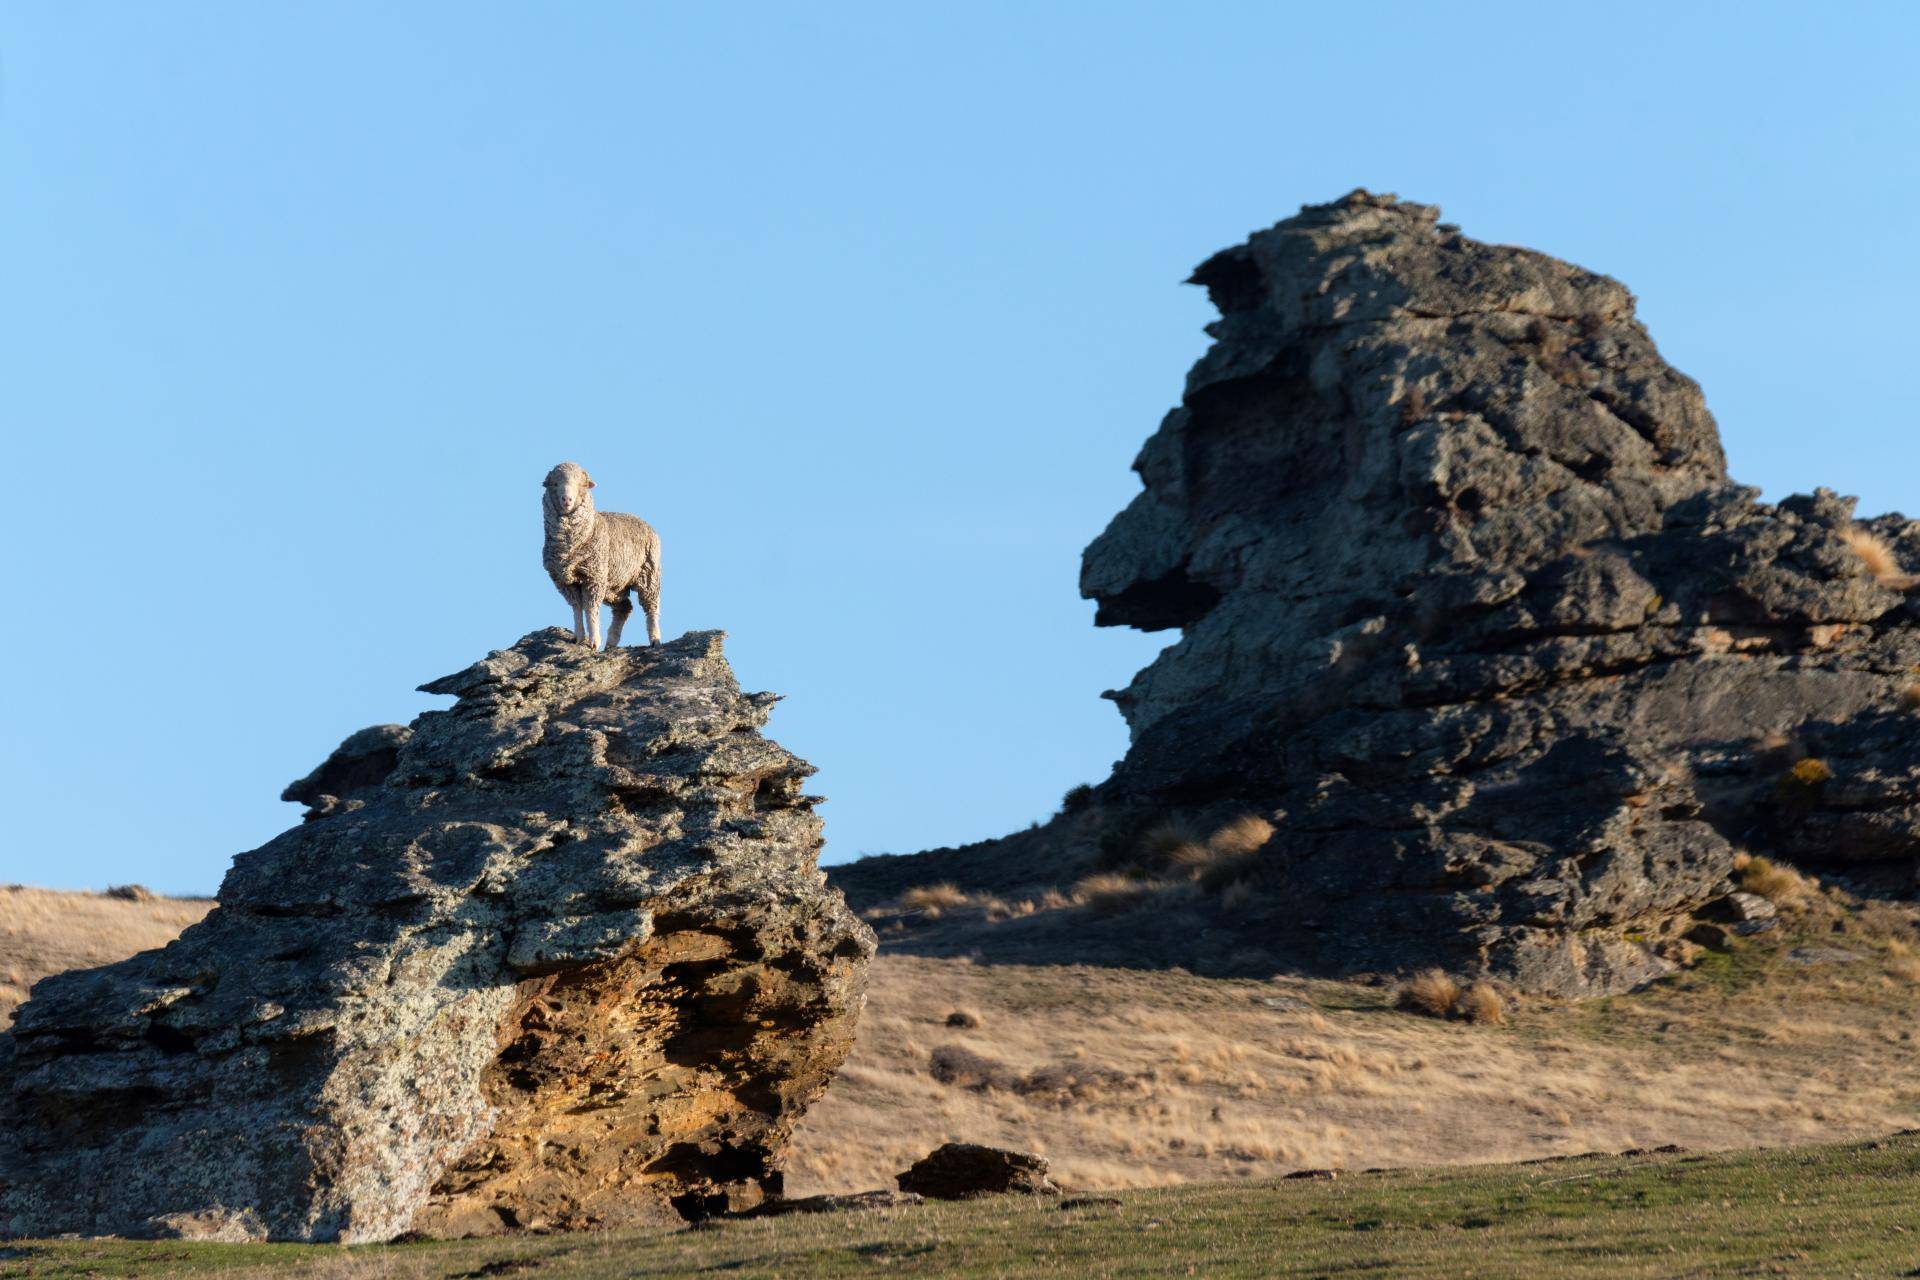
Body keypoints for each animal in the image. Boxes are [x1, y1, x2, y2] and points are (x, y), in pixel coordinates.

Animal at [541, 460, 660, 652]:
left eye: (581, 484)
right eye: (555, 484)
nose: (567, 499)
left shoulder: (593, 577)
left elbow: (590, 609)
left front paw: (593, 641)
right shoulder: (564, 580)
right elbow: (577, 608)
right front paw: (579, 637)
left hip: (649, 574)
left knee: (651, 607)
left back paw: (655, 638)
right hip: (613, 585)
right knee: (624, 607)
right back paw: (611, 642)